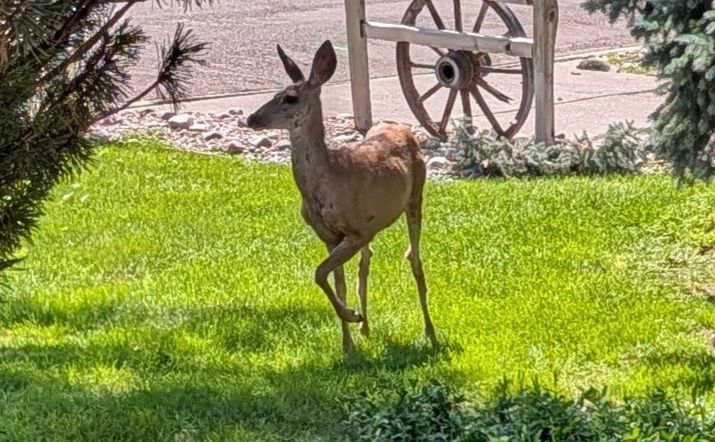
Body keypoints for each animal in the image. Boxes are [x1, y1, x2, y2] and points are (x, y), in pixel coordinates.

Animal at [246, 40, 437, 353]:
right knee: (366, 262)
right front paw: (348, 342)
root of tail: (400, 126)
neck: (327, 183)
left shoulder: (357, 230)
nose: (252, 118)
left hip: (416, 196)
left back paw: (430, 333)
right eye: (274, 94)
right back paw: (366, 328)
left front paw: (352, 316)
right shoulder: (329, 235)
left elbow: (319, 273)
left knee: (415, 259)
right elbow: (335, 281)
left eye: (290, 98)